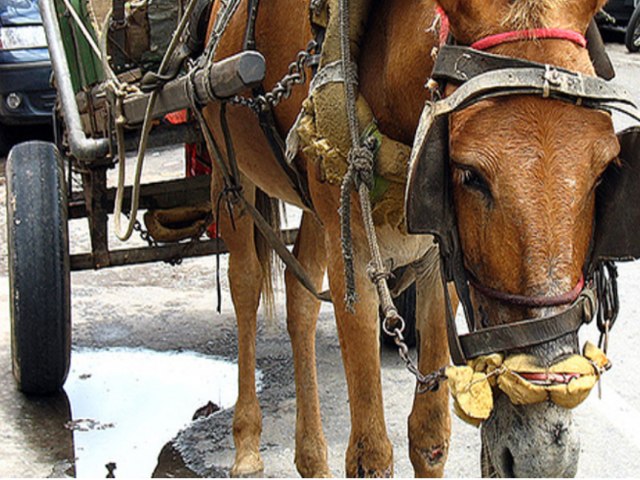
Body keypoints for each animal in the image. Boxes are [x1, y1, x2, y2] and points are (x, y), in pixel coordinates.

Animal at [202, 0, 616, 476]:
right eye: (469, 174)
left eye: (605, 171)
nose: (544, 458)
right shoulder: (354, 257)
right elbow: (369, 452)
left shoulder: (439, 260)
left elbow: (430, 435)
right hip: (227, 170)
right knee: (246, 285)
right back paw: (247, 443)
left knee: (301, 300)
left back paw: (312, 458)